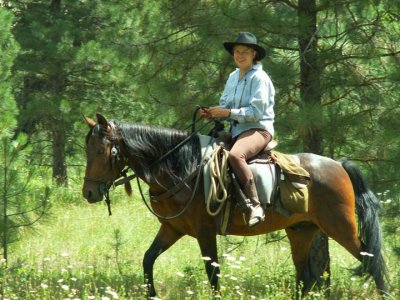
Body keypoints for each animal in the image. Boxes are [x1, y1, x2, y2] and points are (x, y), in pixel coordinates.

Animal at [82, 113, 388, 298]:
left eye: (102, 150)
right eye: (87, 150)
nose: (89, 193)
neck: (184, 169)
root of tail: (339, 164)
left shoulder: (205, 232)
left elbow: (213, 273)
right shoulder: (173, 229)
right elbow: (148, 259)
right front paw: (152, 294)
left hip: (341, 227)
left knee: (371, 261)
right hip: (301, 231)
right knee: (304, 275)